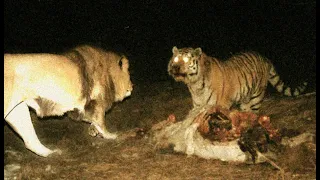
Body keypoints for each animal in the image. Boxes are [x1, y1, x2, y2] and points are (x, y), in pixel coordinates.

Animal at [4, 44, 133, 156]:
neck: (108, 72)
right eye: (128, 75)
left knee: (30, 141)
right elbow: (100, 121)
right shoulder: (95, 102)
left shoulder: (82, 108)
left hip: (17, 110)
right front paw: (111, 136)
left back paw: (52, 154)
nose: (132, 87)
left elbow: (92, 120)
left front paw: (93, 130)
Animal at [168, 46, 308, 112]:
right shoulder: (198, 106)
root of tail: (264, 57)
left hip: (257, 97)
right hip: (245, 98)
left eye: (186, 59)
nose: (175, 67)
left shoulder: (221, 105)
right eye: (175, 59)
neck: (195, 84)